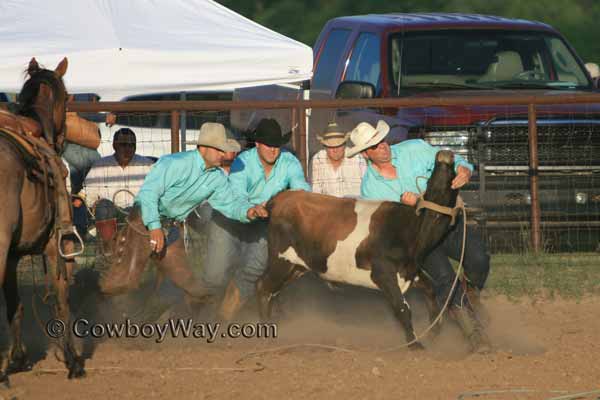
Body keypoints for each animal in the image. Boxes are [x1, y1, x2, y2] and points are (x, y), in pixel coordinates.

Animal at [0, 57, 85, 384]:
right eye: (68, 97)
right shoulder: (55, 244)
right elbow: (62, 298)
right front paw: (73, 361)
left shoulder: (13, 255)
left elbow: (15, 305)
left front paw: (17, 359)